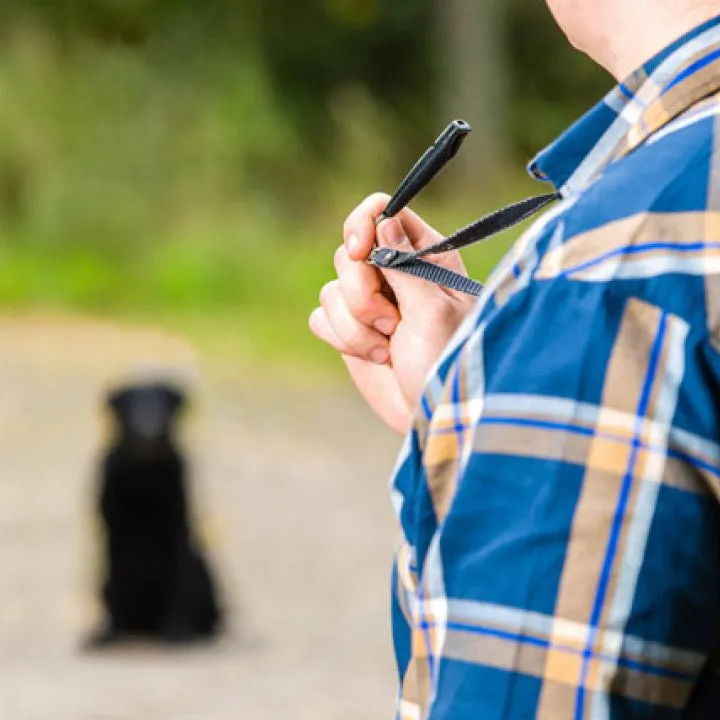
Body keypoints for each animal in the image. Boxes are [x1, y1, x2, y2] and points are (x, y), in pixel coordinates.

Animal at [84, 382, 221, 648]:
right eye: (132, 406)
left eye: (163, 407)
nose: (149, 434)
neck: (144, 480)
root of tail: (147, 626)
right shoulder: (111, 535)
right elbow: (116, 591)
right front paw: (108, 634)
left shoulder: (178, 534)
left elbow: (179, 588)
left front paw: (178, 632)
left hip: (204, 574)